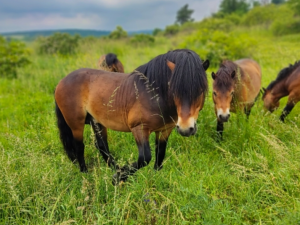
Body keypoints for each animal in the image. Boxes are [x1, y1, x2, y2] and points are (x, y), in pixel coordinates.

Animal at [54, 48, 209, 183]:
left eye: (201, 90)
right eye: (174, 89)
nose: (186, 129)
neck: (153, 93)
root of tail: (62, 81)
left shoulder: (165, 130)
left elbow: (160, 154)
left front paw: (153, 178)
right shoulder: (139, 128)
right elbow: (145, 157)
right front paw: (118, 178)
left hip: (96, 121)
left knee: (102, 146)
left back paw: (115, 168)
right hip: (76, 123)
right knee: (79, 146)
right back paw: (86, 173)